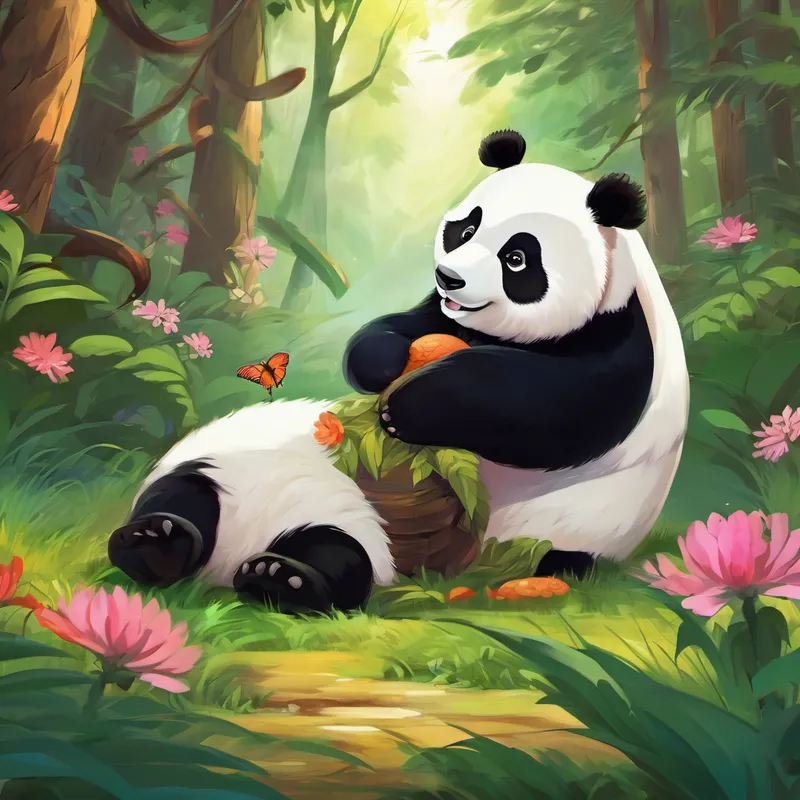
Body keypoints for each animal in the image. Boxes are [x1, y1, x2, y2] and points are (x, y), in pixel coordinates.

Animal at [107, 129, 688, 611]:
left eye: (518, 258)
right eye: (465, 228)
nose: (449, 277)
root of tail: (229, 559)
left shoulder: (620, 331)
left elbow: (555, 409)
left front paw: (411, 407)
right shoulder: (443, 315)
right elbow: (397, 327)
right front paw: (385, 367)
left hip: (542, 530)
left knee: (340, 553)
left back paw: (283, 577)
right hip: (219, 463)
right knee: (184, 492)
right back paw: (154, 542)